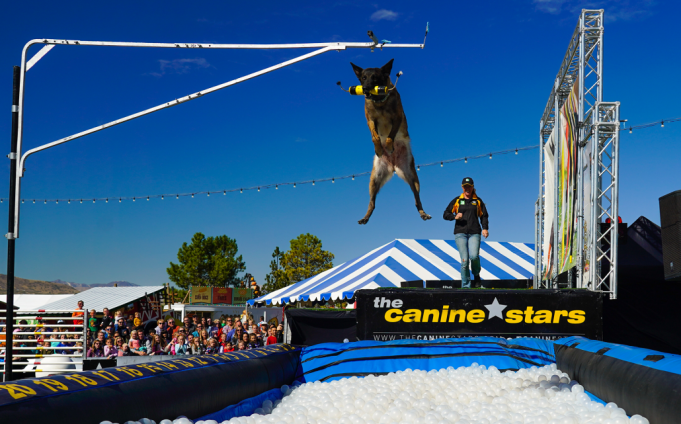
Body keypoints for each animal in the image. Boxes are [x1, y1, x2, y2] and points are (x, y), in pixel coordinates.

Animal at [350, 60, 430, 225]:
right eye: (363, 78)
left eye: (375, 77)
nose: (365, 88)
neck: (380, 103)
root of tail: (393, 166)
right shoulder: (370, 120)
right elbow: (375, 137)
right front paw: (380, 149)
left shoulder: (397, 118)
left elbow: (389, 136)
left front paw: (388, 145)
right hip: (374, 179)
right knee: (372, 203)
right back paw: (365, 217)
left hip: (412, 177)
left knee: (417, 199)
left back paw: (423, 213)